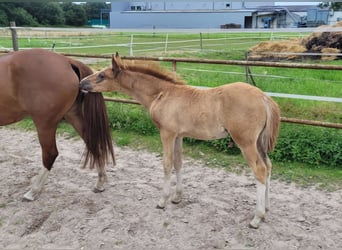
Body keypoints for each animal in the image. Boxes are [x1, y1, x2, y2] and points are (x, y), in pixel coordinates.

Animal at [0, 48, 115, 201]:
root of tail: (68, 61)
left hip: (45, 123)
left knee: (50, 154)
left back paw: (33, 191)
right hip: (73, 115)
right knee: (92, 144)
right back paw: (100, 183)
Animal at [81, 54, 280, 229]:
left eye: (102, 75)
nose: (82, 83)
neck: (161, 93)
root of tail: (263, 97)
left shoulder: (167, 133)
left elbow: (167, 164)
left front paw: (162, 201)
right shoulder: (178, 135)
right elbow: (178, 163)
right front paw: (177, 197)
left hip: (246, 142)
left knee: (260, 170)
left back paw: (257, 218)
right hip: (258, 142)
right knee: (268, 165)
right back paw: (267, 208)